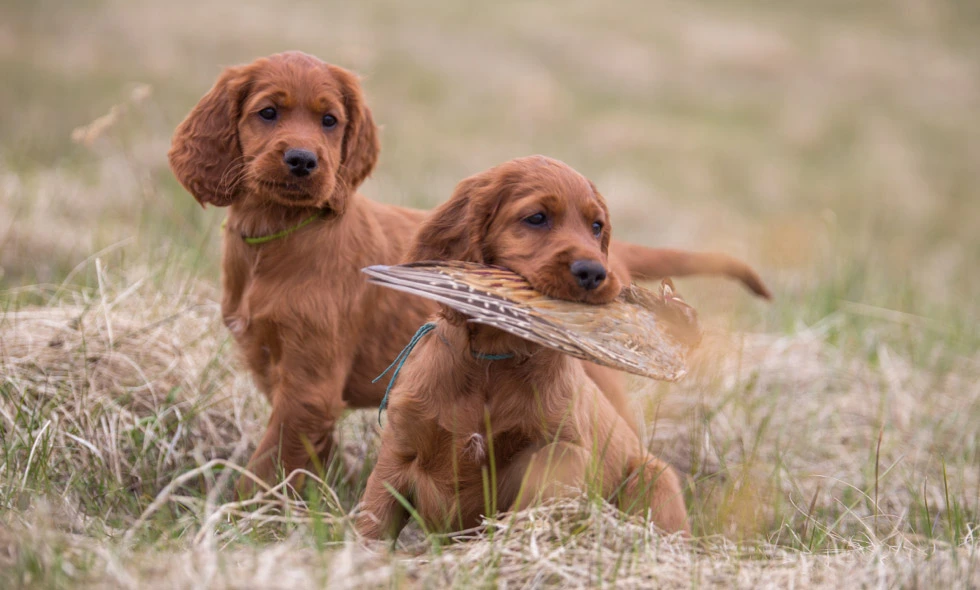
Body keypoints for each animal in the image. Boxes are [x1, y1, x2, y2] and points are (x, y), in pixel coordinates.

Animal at [167, 49, 764, 494]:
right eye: (268, 113)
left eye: (329, 120)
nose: (302, 161)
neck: (280, 239)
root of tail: (611, 260)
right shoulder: (285, 375)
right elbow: (302, 454)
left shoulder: (310, 384)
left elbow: (270, 461)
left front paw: (249, 516)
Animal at [358, 158, 688, 540]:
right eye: (537, 218)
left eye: (596, 227)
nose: (594, 273)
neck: (491, 361)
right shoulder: (398, 454)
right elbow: (373, 524)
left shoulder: (563, 446)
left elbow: (545, 479)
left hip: (655, 477)